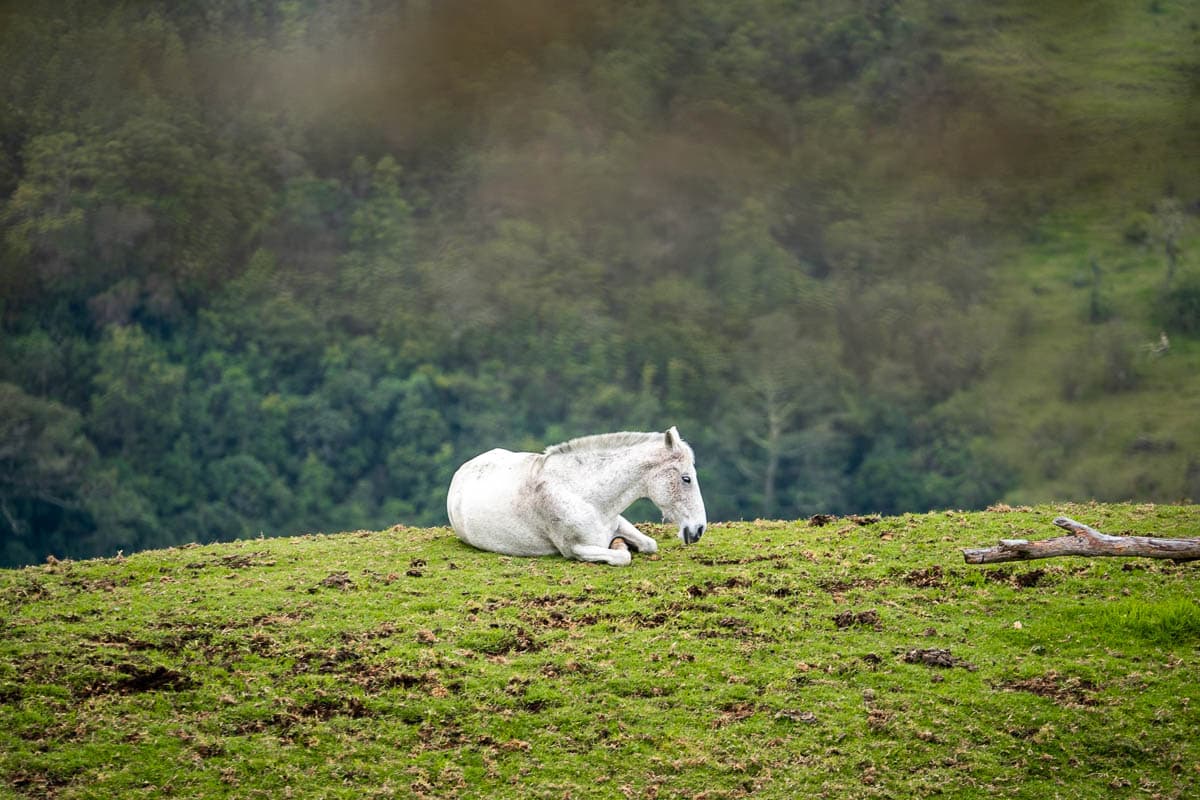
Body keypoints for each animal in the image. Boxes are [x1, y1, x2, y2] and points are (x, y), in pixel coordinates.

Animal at [451, 429, 710, 566]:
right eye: (686, 478)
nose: (698, 530)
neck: (584, 495)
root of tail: (462, 470)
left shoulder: (618, 521)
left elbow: (649, 544)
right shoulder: (577, 549)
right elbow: (622, 557)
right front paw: (619, 546)